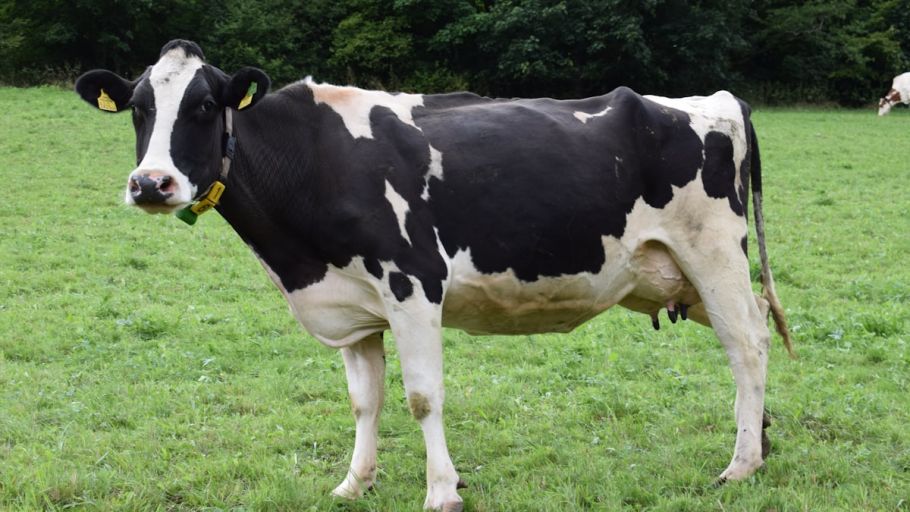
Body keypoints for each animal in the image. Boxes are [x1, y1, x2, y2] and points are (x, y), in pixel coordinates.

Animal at [75, 40, 793, 511]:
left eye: (203, 106)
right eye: (139, 108)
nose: (151, 183)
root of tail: (716, 99)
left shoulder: (413, 283)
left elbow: (422, 396)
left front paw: (442, 491)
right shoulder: (354, 305)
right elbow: (364, 400)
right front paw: (354, 483)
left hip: (714, 254)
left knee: (748, 345)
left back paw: (739, 465)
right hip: (685, 274)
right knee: (752, 334)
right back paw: (760, 442)